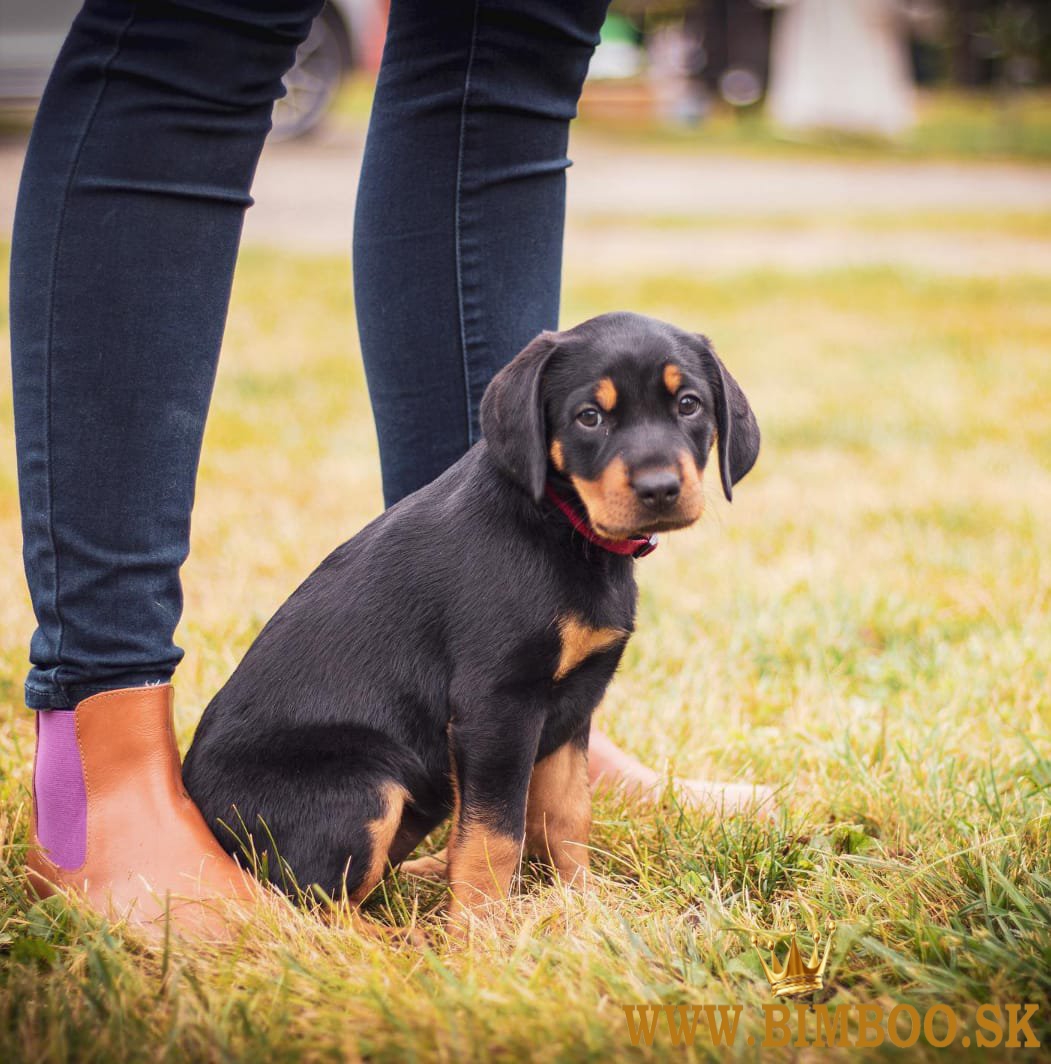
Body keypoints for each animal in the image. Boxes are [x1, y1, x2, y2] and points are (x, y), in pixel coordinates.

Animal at [180, 310, 757, 919]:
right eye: (589, 417)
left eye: (689, 405)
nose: (659, 489)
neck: (559, 524)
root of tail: (198, 808)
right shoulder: (497, 707)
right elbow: (494, 835)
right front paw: (482, 930)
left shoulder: (572, 705)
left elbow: (567, 816)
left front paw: (581, 908)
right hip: (366, 783)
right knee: (312, 904)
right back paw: (403, 933)